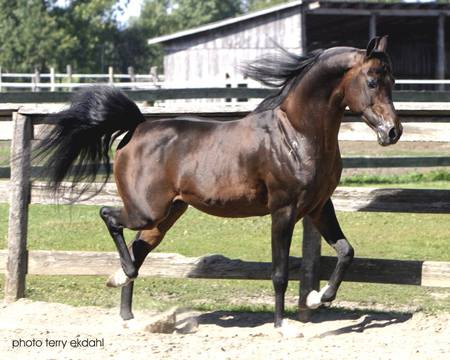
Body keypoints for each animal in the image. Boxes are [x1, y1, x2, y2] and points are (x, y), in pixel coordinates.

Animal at [35, 37, 400, 330]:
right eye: (371, 81)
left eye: (392, 80)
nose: (393, 131)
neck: (297, 134)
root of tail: (137, 128)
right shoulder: (283, 211)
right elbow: (280, 273)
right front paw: (282, 325)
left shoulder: (319, 206)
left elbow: (346, 252)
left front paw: (316, 298)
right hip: (146, 211)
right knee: (109, 217)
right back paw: (121, 275)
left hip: (165, 216)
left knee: (138, 250)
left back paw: (127, 311)